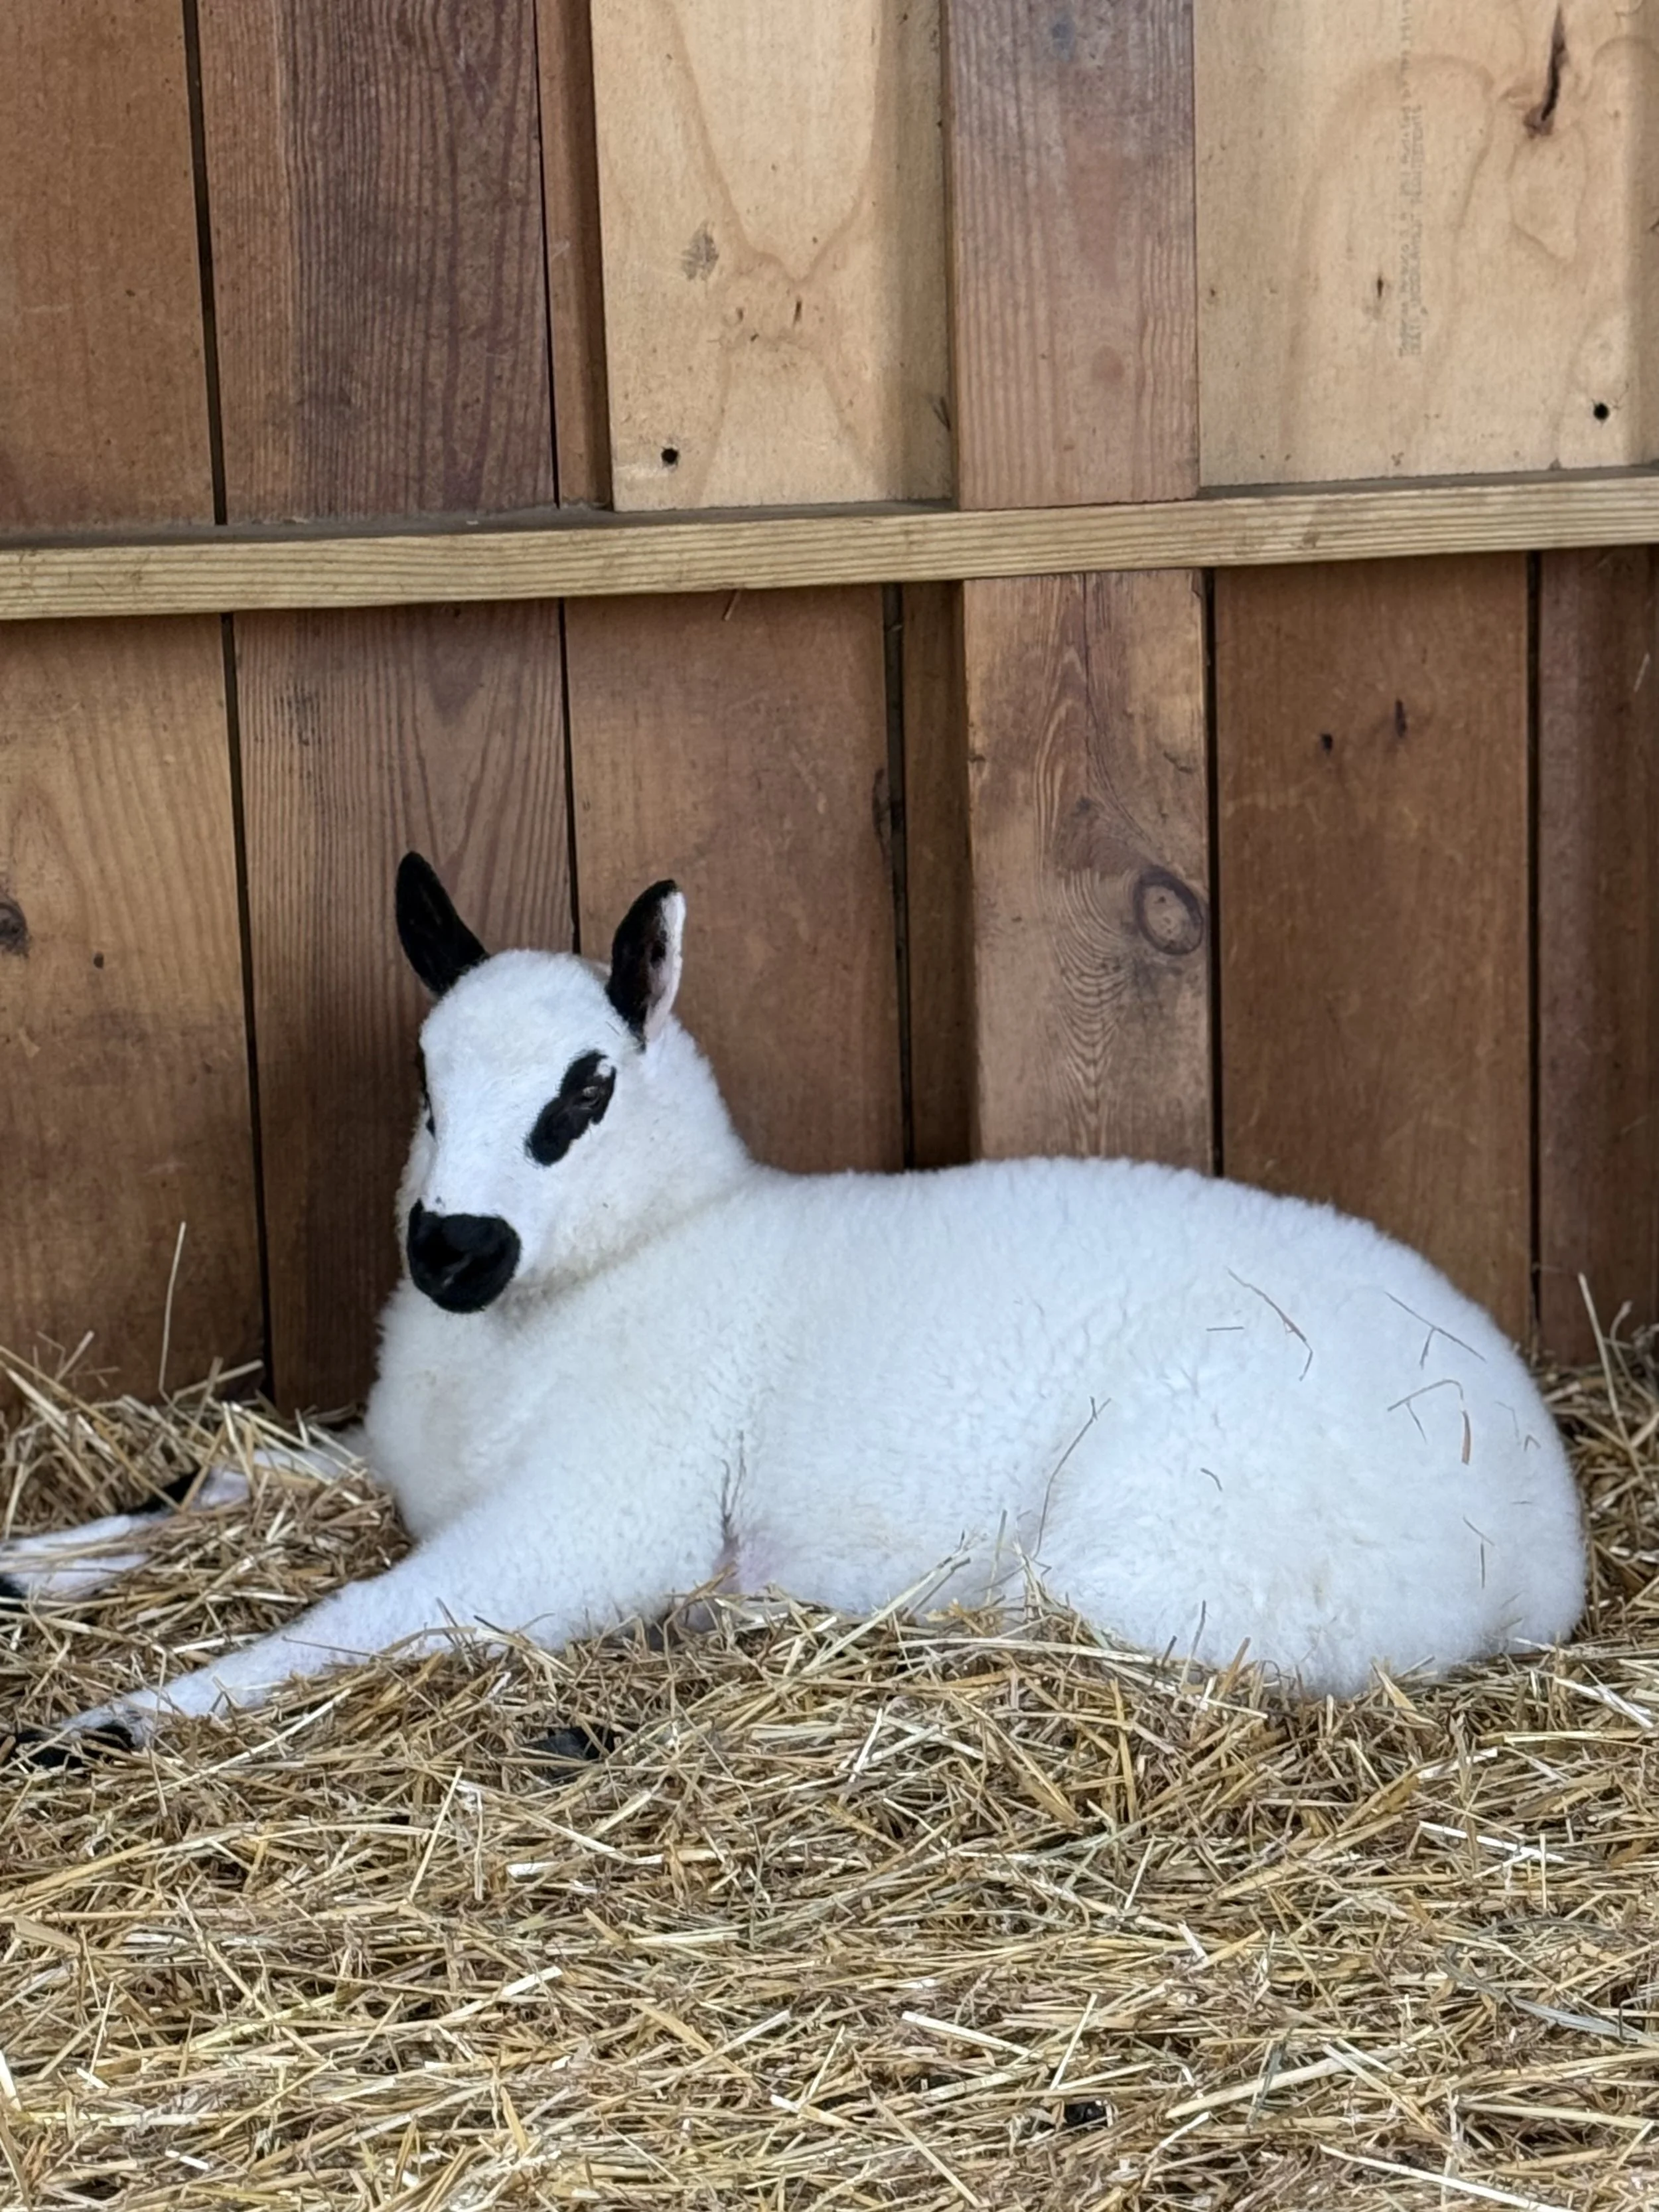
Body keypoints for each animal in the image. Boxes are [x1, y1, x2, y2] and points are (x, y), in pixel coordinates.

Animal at [7, 854, 1586, 1748]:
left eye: (585, 1089)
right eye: (421, 1077)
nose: (453, 1247)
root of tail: (1547, 1544)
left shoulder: (599, 1512)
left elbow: (356, 1616)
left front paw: (117, 1717)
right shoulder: (390, 1460)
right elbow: (212, 1479)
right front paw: (42, 1562)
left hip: (1167, 1535)